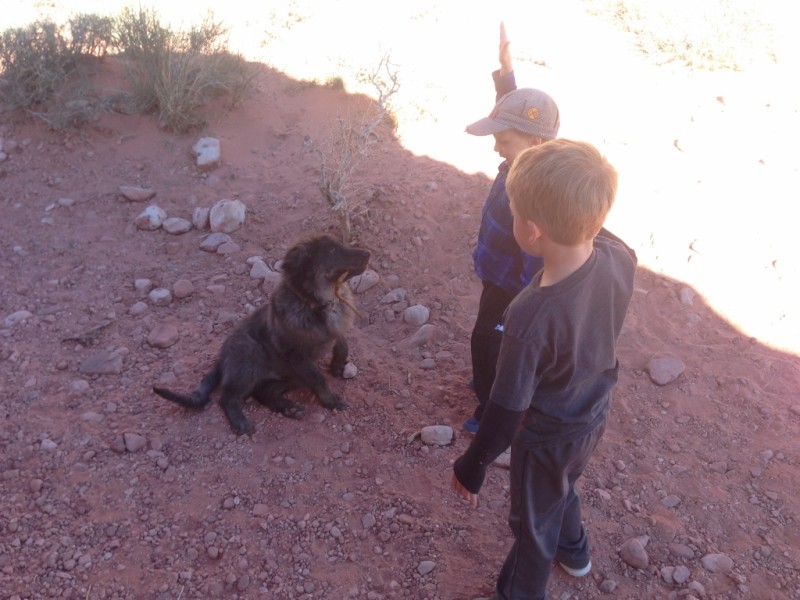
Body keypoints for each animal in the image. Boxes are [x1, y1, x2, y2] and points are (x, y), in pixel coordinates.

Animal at [153, 234, 372, 436]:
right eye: (332, 251)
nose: (368, 253)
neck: (319, 302)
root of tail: (221, 360)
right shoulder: (297, 356)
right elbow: (318, 379)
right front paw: (330, 400)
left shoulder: (334, 330)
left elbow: (342, 343)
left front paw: (337, 364)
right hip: (252, 354)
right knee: (227, 398)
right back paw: (240, 421)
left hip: (290, 376)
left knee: (262, 392)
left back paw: (288, 408)